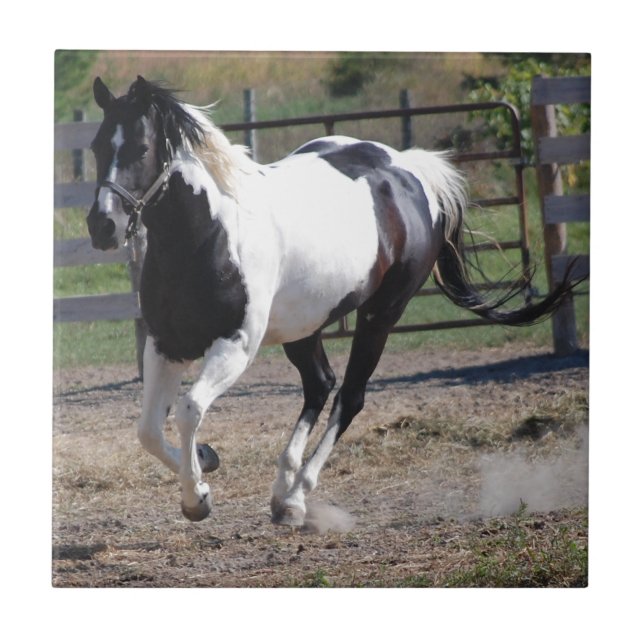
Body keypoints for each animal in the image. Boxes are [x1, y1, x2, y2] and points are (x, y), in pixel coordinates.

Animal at [86, 76, 573, 525]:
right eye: (95, 146)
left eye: (141, 147)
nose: (102, 226)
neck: (209, 235)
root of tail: (408, 171)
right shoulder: (166, 343)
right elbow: (148, 430)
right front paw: (205, 461)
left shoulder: (236, 345)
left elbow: (188, 411)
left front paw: (197, 499)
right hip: (305, 323)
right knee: (320, 383)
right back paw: (282, 490)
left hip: (380, 314)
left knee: (349, 396)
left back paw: (297, 498)